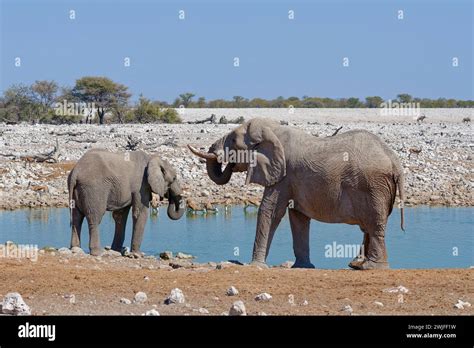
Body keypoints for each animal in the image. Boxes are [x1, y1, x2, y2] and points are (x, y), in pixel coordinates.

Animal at [188, 118, 404, 270]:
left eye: (233, 140)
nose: (228, 162)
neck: (273, 130)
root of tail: (395, 161)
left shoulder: (283, 175)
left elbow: (271, 211)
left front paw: (256, 265)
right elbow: (298, 217)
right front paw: (302, 267)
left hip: (373, 186)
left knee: (373, 224)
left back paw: (371, 267)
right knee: (369, 226)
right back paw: (358, 265)